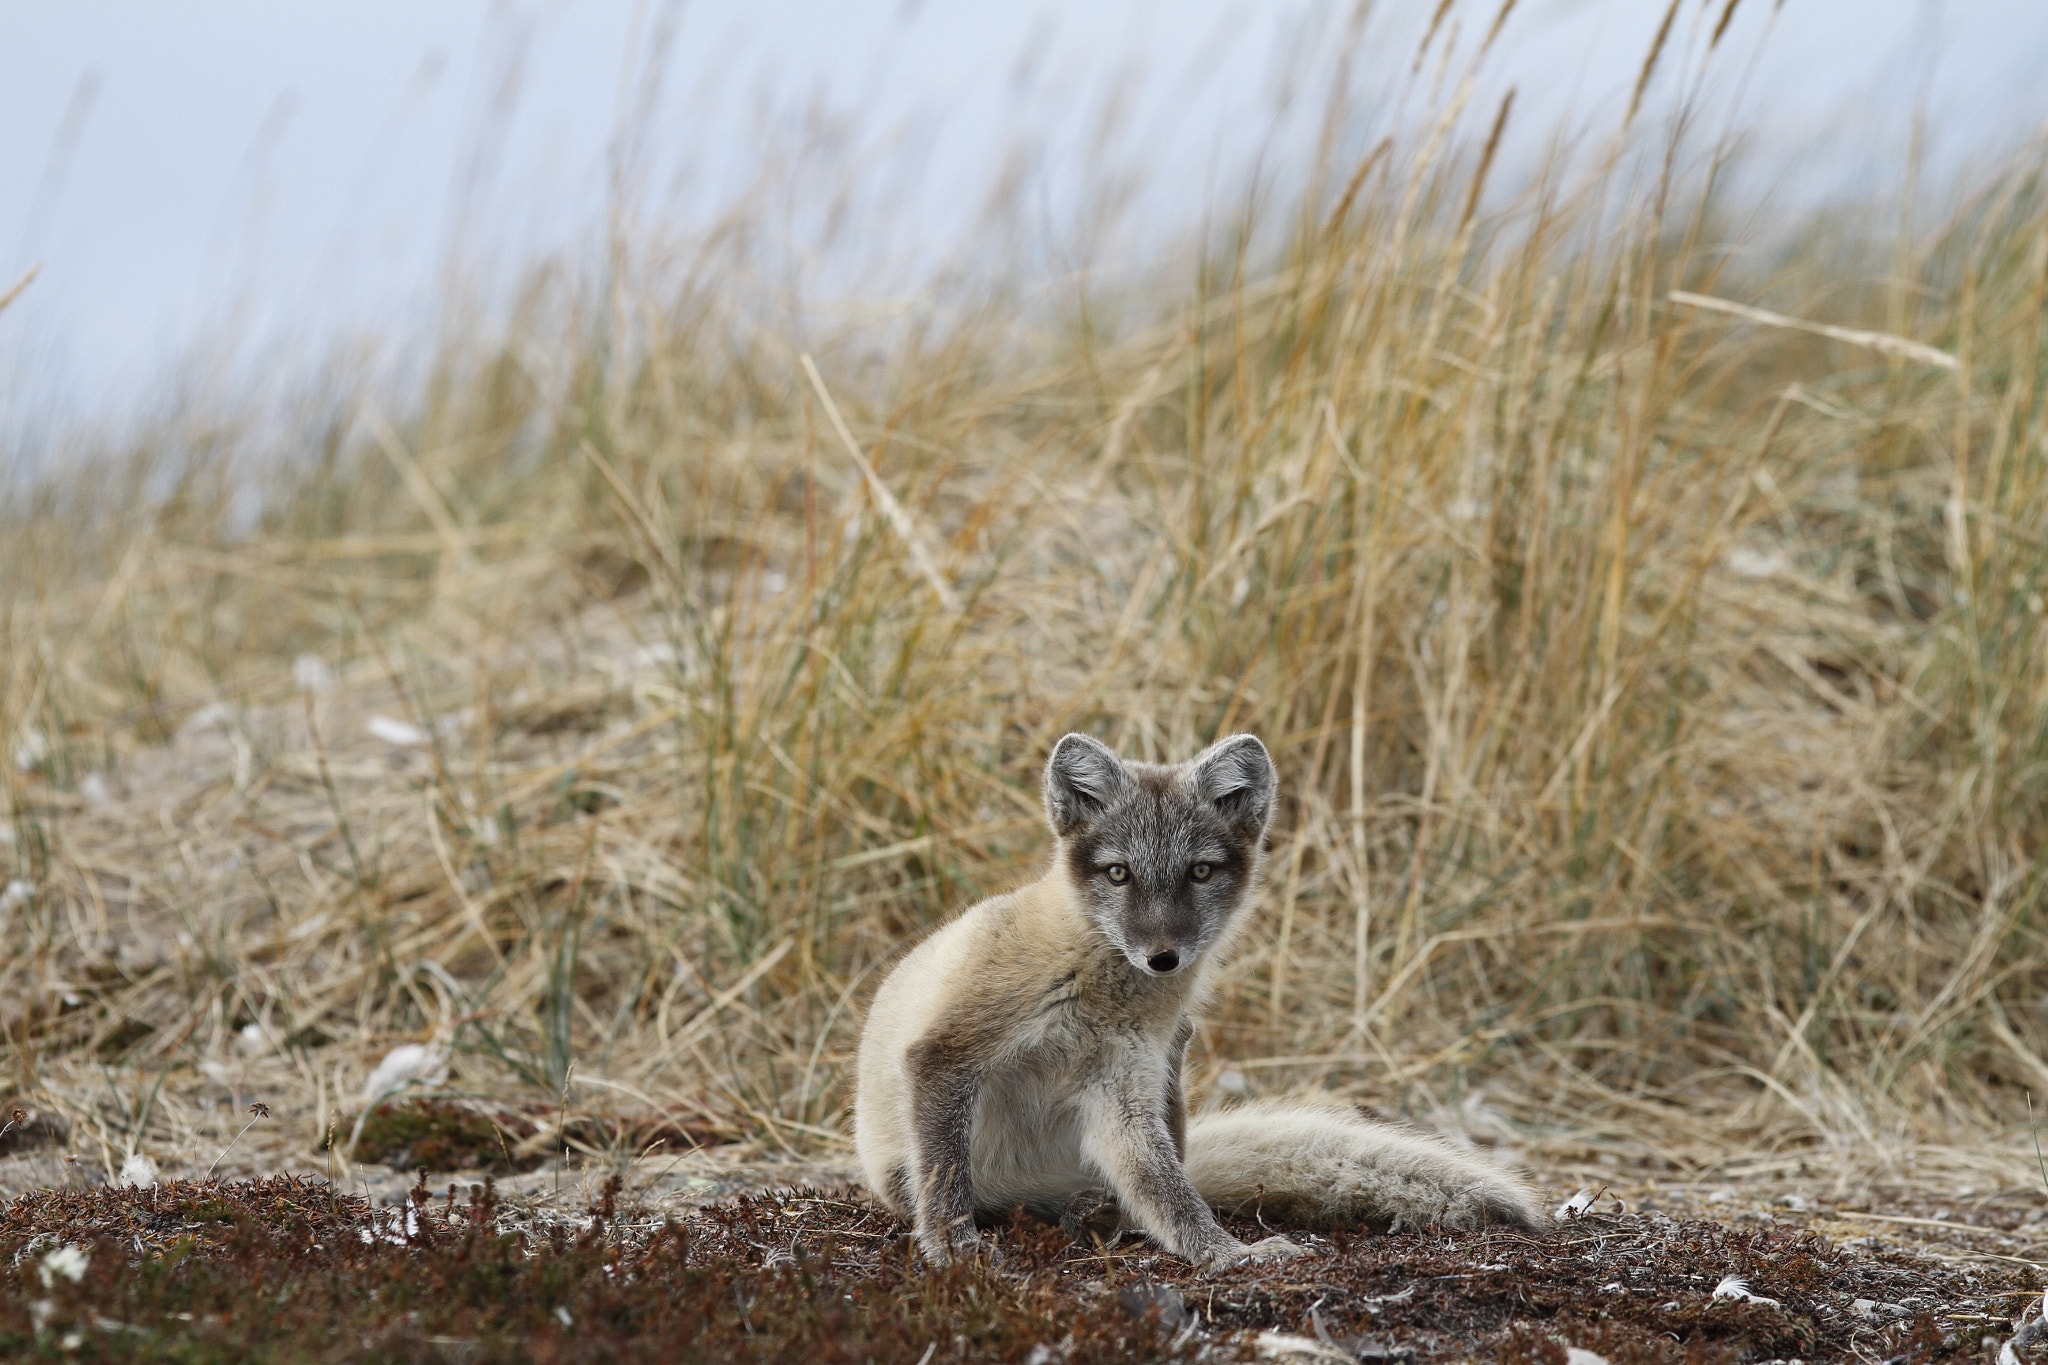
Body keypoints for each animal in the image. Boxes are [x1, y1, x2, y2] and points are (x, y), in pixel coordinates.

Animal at [847, 736, 1540, 1268]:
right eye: (1119, 873)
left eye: (1200, 872)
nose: (1163, 957)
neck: (1097, 992)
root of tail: (1035, 1182)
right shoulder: (948, 1050)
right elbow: (946, 1177)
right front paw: (952, 1248)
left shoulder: (1125, 1086)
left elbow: (1168, 1191)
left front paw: (1224, 1253)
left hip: (1168, 1082)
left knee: (1155, 1181)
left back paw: (1102, 1218)